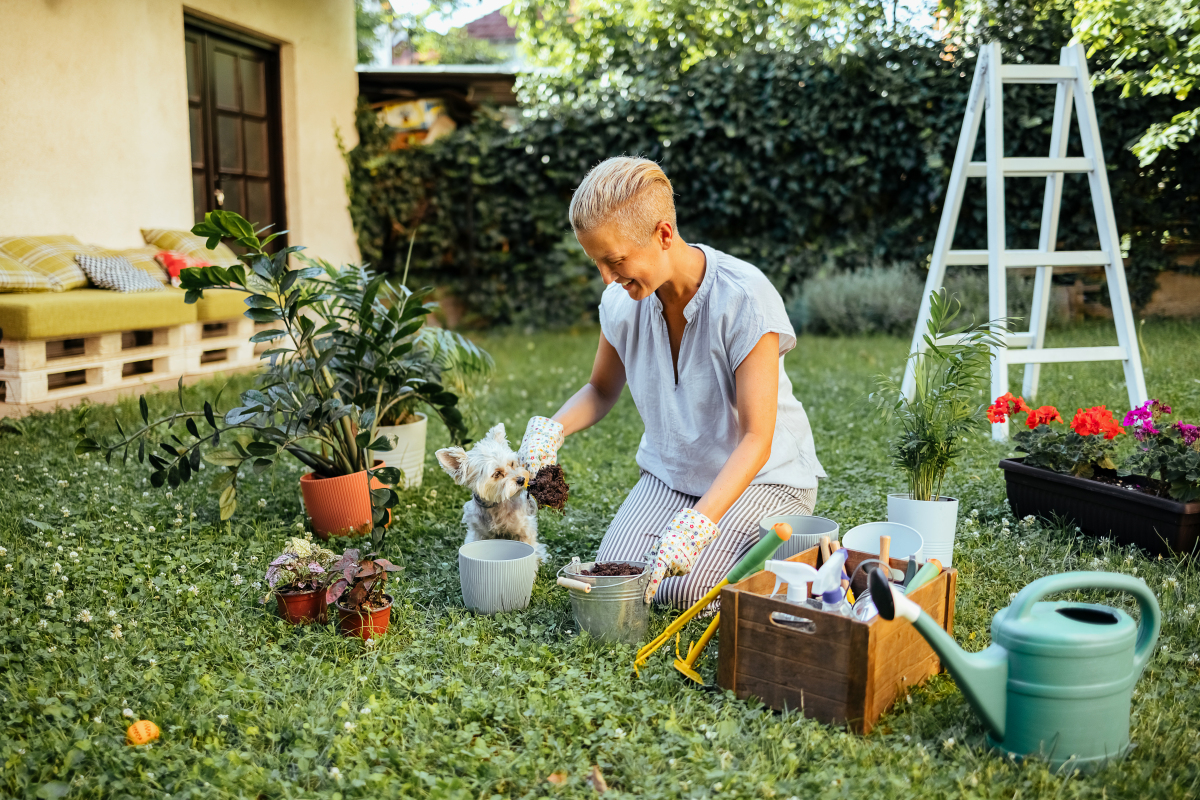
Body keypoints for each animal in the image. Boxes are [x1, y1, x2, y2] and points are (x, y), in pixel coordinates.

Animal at [436, 424, 544, 563]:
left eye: (512, 464)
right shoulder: (478, 533)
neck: (496, 503)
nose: (521, 479)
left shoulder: (525, 529)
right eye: (497, 474)